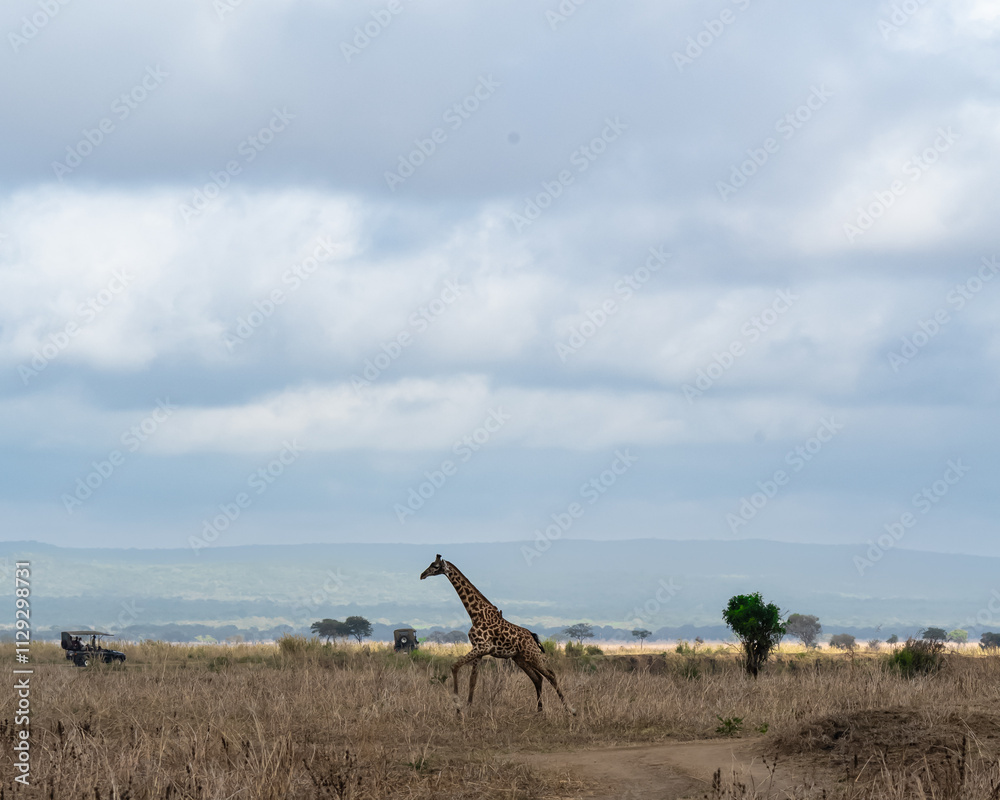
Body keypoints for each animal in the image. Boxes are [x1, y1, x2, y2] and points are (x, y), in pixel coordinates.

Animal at [420, 554, 576, 715]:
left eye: (435, 566)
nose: (422, 575)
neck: (475, 614)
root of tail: (532, 636)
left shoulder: (482, 647)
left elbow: (455, 666)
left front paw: (458, 707)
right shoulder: (479, 649)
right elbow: (472, 679)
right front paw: (467, 707)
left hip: (532, 655)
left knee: (551, 675)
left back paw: (570, 709)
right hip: (520, 658)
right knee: (537, 678)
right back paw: (539, 710)